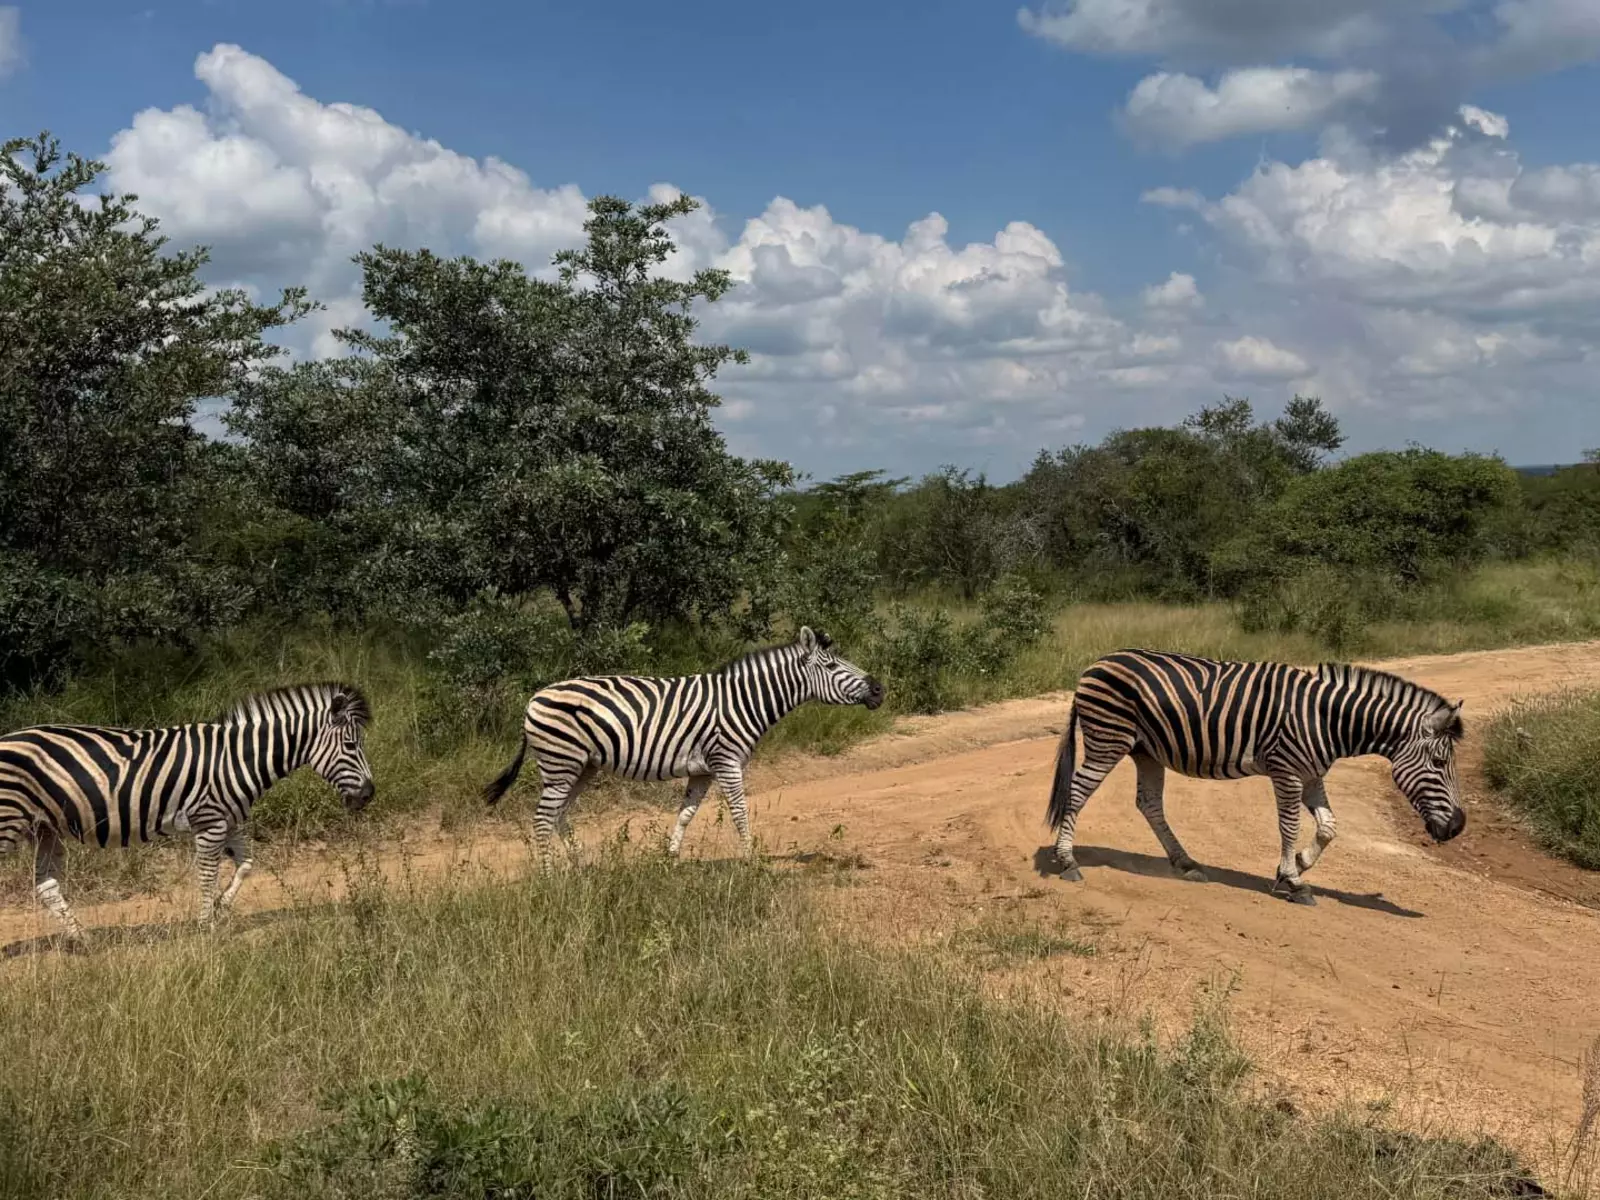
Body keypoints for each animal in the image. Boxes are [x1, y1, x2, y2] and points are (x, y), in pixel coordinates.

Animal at [0, 682, 375, 941]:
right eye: (351, 745)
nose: (369, 795)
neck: (238, 759)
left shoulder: (229, 819)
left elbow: (246, 865)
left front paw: (221, 908)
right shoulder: (209, 821)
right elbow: (208, 874)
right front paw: (206, 926)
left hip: (44, 827)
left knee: (46, 884)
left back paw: (83, 938)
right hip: (8, 822)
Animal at [484, 626, 884, 868]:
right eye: (832, 666)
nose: (879, 689)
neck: (743, 701)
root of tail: (533, 698)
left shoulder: (702, 770)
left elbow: (686, 814)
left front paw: (669, 858)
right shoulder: (727, 761)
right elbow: (740, 812)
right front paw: (751, 859)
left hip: (583, 766)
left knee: (560, 814)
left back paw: (580, 866)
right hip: (561, 763)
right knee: (543, 818)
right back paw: (549, 874)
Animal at [1045, 650, 1467, 905]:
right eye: (1439, 762)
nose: (1458, 827)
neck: (1328, 720)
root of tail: (1094, 665)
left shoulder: (1312, 776)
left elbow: (1329, 827)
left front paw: (1298, 864)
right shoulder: (1287, 771)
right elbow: (1289, 825)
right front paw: (1294, 880)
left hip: (1146, 751)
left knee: (1148, 803)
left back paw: (1186, 864)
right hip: (1108, 739)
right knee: (1077, 792)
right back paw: (1067, 861)